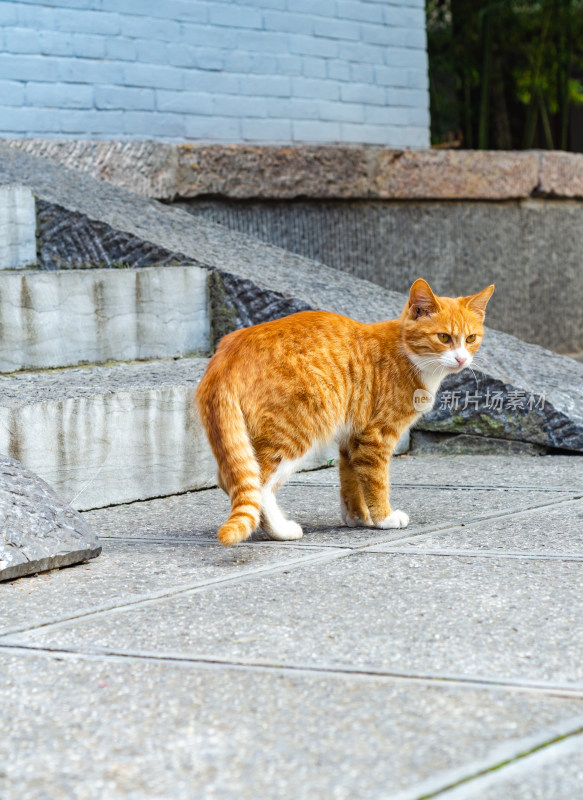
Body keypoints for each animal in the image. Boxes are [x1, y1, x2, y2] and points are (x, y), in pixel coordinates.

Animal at [196, 278, 492, 548]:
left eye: (471, 339)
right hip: (297, 430)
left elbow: (352, 481)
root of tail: (225, 354)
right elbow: (376, 481)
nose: (462, 359)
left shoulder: (353, 435)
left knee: (235, 480)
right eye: (444, 337)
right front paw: (384, 517)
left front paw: (358, 517)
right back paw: (281, 530)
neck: (407, 353)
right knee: (256, 483)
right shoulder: (376, 435)